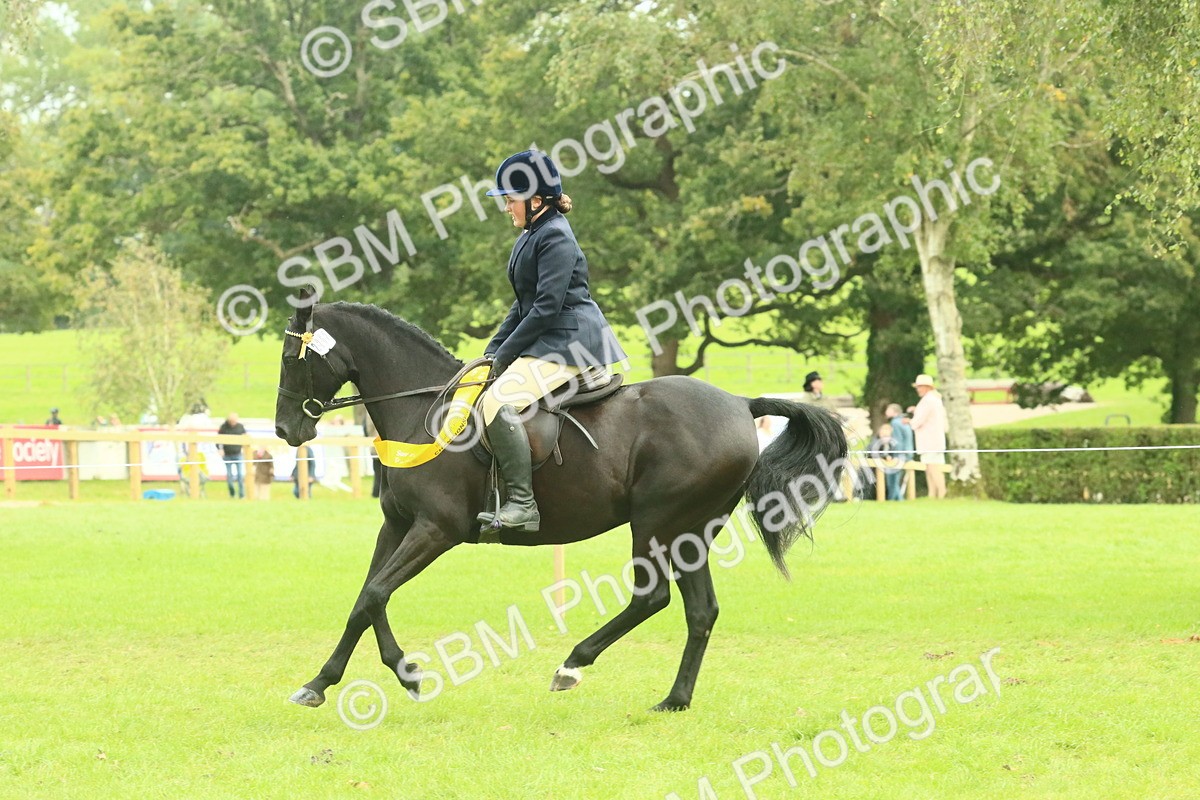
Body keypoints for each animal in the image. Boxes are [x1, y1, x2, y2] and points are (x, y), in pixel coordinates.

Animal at [274, 298, 848, 712]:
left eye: (287, 359)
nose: (285, 430)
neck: (423, 412)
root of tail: (740, 404)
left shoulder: (436, 529)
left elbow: (375, 594)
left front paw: (407, 674)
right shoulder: (396, 525)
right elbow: (366, 599)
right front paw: (324, 682)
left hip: (657, 522)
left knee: (651, 597)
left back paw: (572, 665)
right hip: (693, 532)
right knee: (700, 610)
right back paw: (674, 700)